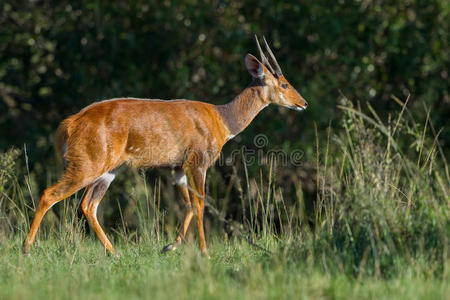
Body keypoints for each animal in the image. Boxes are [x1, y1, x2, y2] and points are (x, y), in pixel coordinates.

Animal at [22, 34, 308, 255]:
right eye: (284, 83)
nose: (303, 103)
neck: (223, 121)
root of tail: (67, 126)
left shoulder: (178, 167)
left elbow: (189, 205)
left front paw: (170, 246)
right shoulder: (197, 160)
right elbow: (200, 204)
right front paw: (204, 252)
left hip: (108, 169)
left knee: (88, 204)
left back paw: (113, 253)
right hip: (87, 162)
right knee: (50, 194)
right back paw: (27, 248)